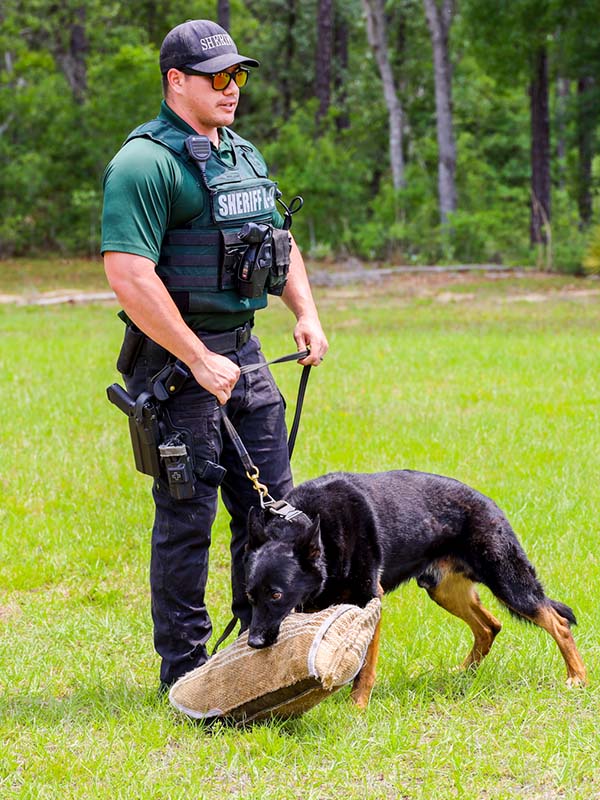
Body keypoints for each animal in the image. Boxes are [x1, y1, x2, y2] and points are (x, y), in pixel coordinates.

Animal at [244, 468, 584, 708]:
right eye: (250, 596)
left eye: (276, 595)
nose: (255, 643)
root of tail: (488, 502)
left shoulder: (369, 601)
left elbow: (364, 667)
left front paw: (357, 706)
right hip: (444, 591)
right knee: (490, 626)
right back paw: (463, 673)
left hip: (509, 584)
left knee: (557, 622)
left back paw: (577, 677)